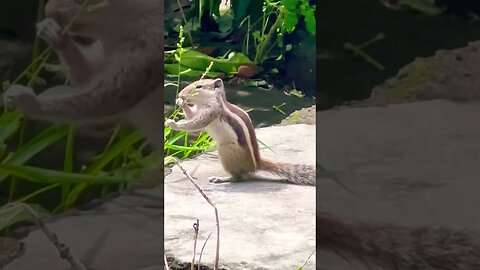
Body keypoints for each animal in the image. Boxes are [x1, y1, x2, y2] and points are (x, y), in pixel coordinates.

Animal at [1, 0, 163, 148]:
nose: (47, 11)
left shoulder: (150, 49)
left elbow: (109, 98)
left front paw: (28, 101)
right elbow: (86, 75)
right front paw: (53, 32)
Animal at [164, 77, 316, 185]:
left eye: (199, 86)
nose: (181, 94)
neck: (207, 101)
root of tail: (256, 164)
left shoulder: (211, 112)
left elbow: (195, 124)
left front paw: (172, 123)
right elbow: (191, 116)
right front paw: (180, 102)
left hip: (225, 151)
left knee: (238, 177)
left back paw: (221, 179)